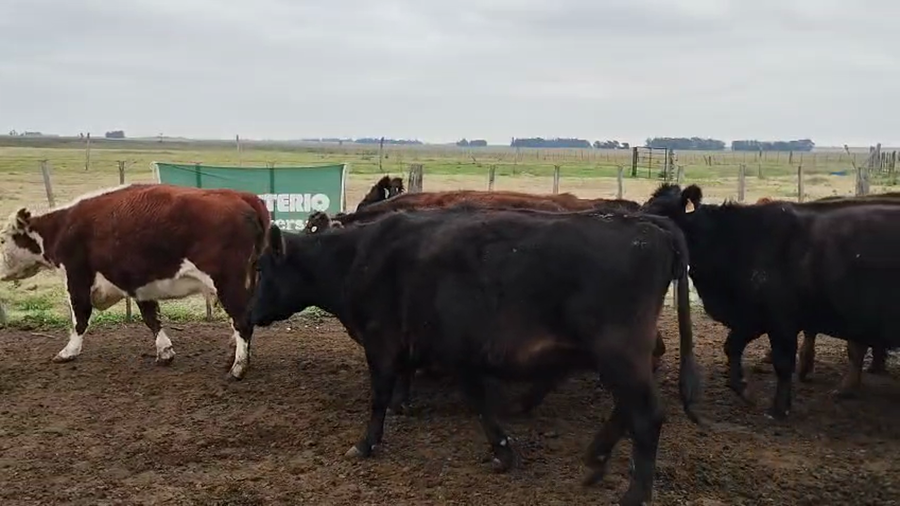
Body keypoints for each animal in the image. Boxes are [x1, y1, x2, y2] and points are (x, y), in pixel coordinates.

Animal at [0, 183, 270, 380]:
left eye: (2, 239)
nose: (1, 272)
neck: (63, 227)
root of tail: (243, 197)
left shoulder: (77, 277)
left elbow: (80, 318)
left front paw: (68, 352)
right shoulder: (140, 283)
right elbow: (151, 317)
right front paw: (164, 352)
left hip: (229, 284)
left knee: (242, 322)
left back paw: (238, 367)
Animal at [643, 183, 900, 419]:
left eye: (661, 213)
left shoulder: (781, 321)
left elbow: (783, 364)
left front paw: (779, 408)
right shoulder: (751, 316)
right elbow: (731, 347)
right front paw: (743, 388)